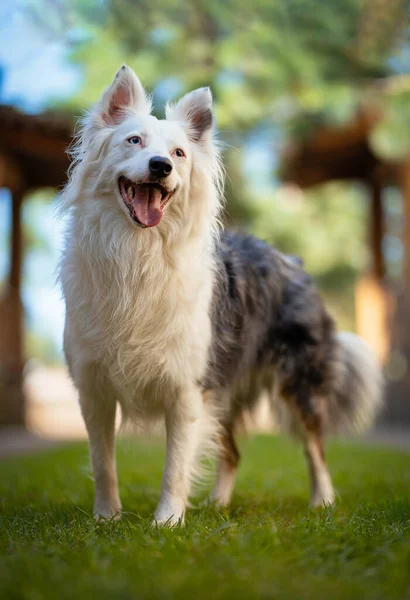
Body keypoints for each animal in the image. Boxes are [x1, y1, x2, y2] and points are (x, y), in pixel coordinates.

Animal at [58, 67, 384, 524]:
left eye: (178, 153)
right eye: (134, 140)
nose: (159, 166)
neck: (139, 253)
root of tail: (292, 259)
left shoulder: (187, 387)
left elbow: (176, 465)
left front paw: (166, 523)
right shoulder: (94, 388)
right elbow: (103, 462)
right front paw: (106, 519)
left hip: (296, 382)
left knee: (314, 448)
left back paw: (323, 502)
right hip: (226, 388)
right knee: (231, 452)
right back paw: (218, 505)